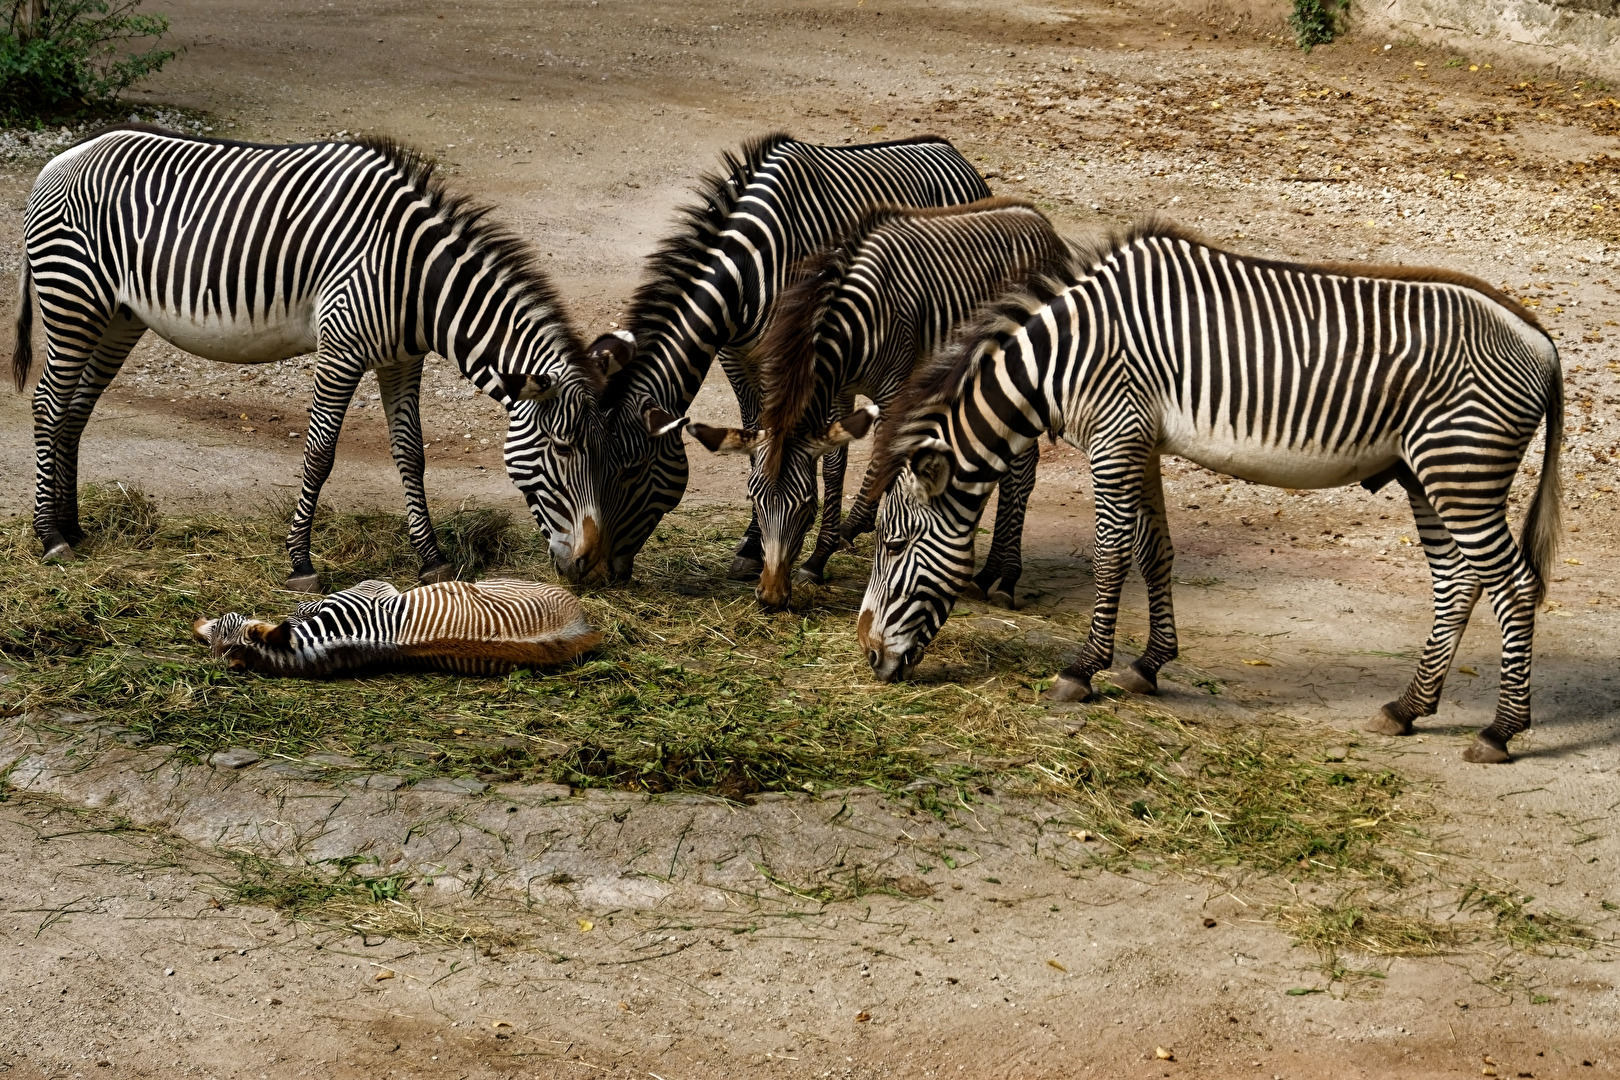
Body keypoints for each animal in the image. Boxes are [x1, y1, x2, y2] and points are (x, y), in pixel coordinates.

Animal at [13, 124, 604, 592]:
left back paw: (75, 528)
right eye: (562, 449)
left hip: (116, 318)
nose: (584, 566)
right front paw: (301, 563)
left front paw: (432, 559)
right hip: (72, 300)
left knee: (74, 413)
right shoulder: (341, 347)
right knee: (47, 405)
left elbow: (411, 454)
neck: (415, 277)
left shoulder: (401, 360)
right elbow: (319, 454)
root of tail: (60, 159)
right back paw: (50, 536)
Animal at [579, 132, 992, 583]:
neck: (745, 270)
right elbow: (754, 436)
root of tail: (954, 152)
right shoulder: (735, 356)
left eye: (632, 470)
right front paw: (754, 543)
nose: (601, 571)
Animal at [686, 197, 1070, 610]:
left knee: (1022, 469)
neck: (852, 322)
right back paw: (988, 575)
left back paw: (1005, 578)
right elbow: (835, 463)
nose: (770, 597)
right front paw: (818, 559)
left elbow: (885, 460)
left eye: (806, 508)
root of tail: (1044, 224)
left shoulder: (894, 388)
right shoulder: (839, 390)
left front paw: (866, 545)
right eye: (753, 498)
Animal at [858, 222, 1562, 765]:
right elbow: (1154, 552)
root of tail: (1540, 337)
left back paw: (1500, 732)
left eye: (893, 545)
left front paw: (1082, 671)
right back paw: (1408, 708)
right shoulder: (1142, 442)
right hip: (1429, 472)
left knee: (1513, 585)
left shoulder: (1115, 437)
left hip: (1461, 466)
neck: (1060, 360)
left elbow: (1111, 556)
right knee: (1458, 583)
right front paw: (1148, 665)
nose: (868, 658)